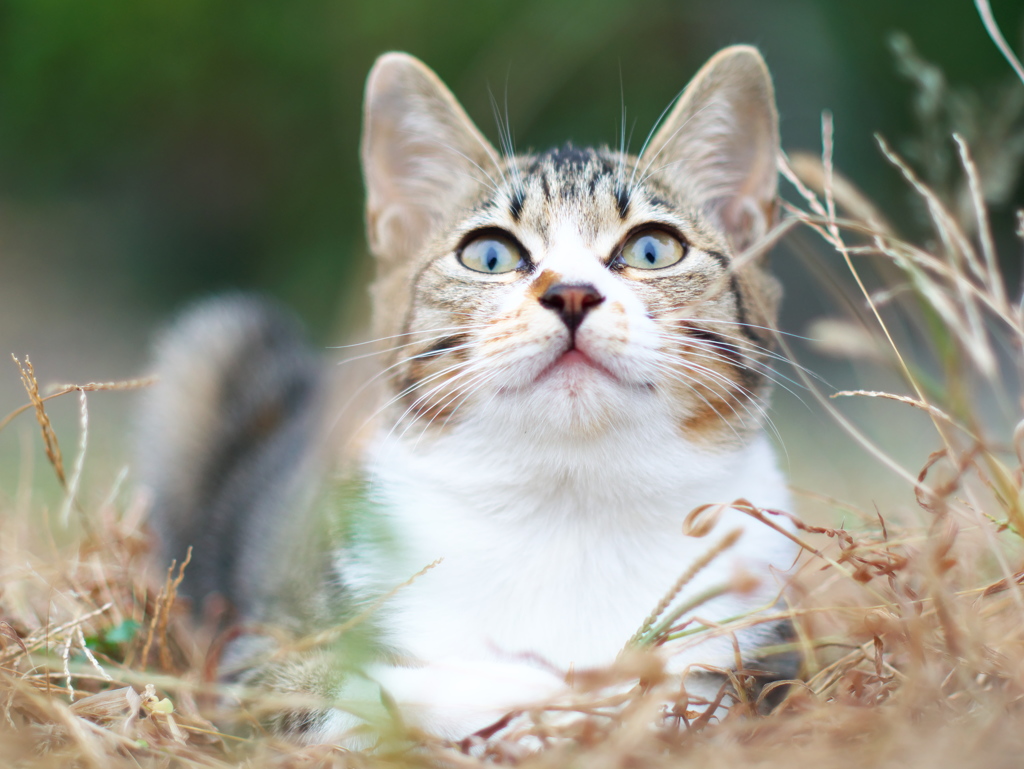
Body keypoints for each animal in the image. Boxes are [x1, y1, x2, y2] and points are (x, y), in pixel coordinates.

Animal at [138, 45, 798, 741]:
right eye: (489, 255)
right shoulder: (261, 660)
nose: (572, 294)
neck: (570, 503)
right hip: (214, 345)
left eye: (652, 249)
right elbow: (378, 688)